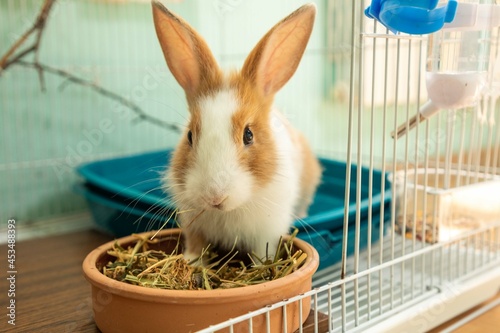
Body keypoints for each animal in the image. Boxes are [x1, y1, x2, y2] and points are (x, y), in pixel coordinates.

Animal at [151, 0, 320, 262]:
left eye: (248, 135)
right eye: (189, 136)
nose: (214, 197)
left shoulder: (267, 231)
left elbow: (262, 252)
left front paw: (262, 267)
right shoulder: (193, 223)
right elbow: (196, 245)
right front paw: (191, 262)